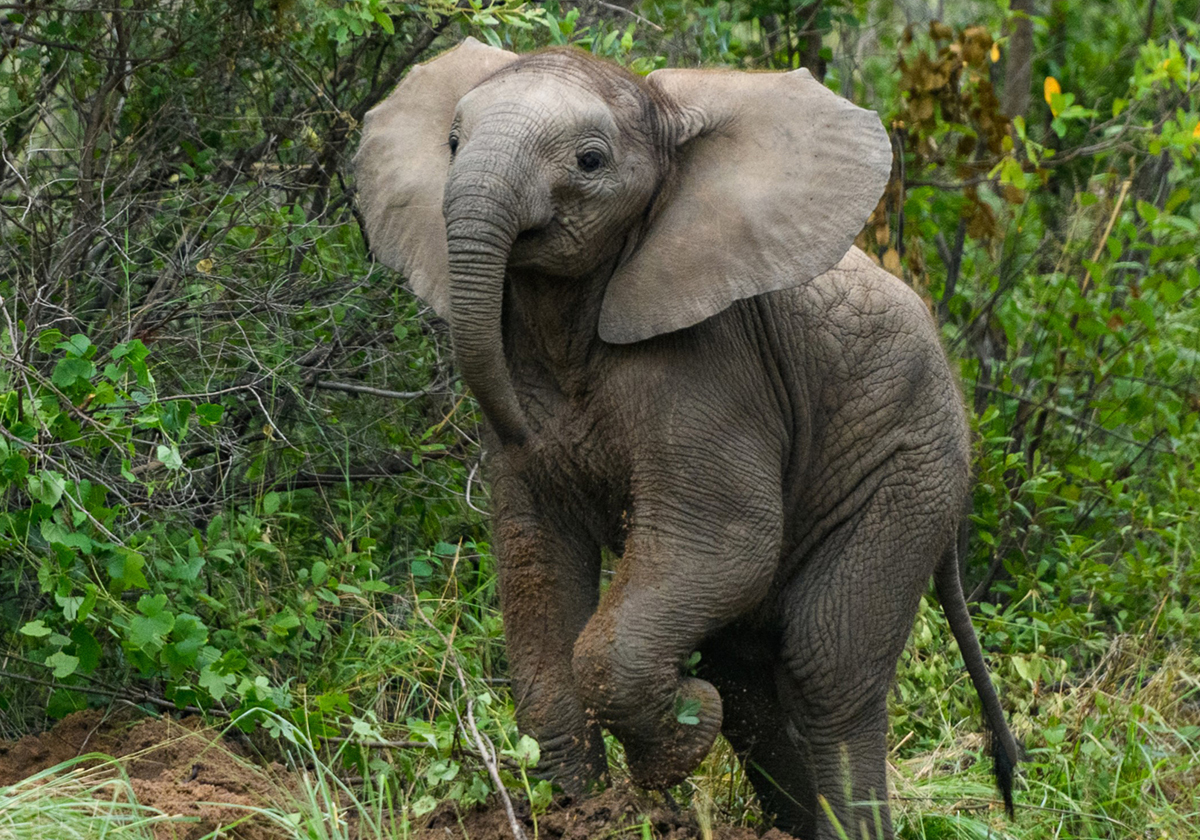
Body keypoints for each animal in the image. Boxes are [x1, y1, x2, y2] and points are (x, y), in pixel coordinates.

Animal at [354, 38, 1019, 840]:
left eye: (590, 161)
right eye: (452, 143)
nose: (520, 423)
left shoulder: (717, 365)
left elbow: (723, 541)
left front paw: (681, 740)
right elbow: (535, 555)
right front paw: (577, 812)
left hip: (909, 468)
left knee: (826, 668)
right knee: (754, 683)